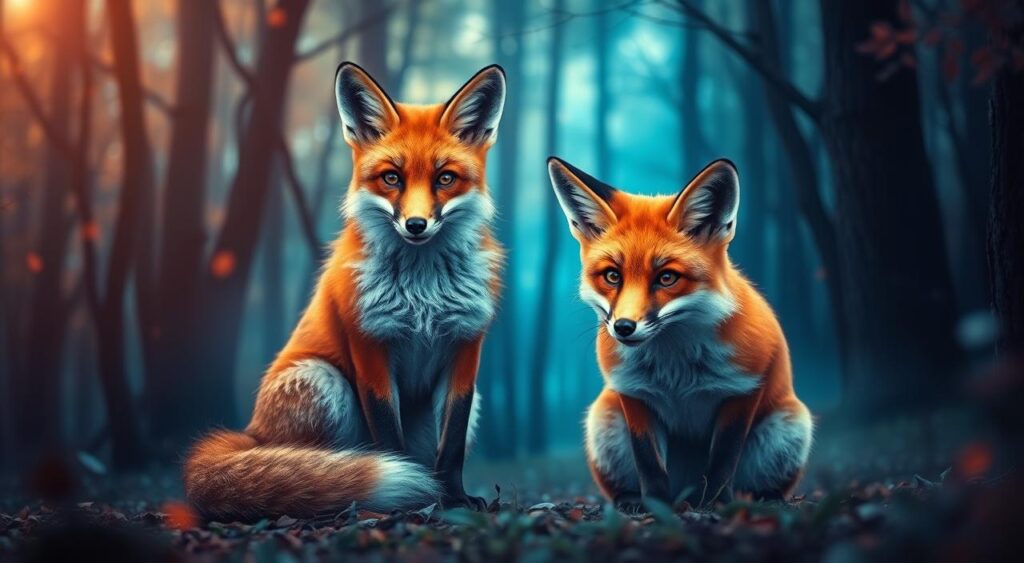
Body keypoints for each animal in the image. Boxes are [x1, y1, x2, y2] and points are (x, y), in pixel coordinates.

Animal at [183, 63, 507, 520]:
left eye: (445, 178)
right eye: (392, 178)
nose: (416, 226)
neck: (423, 292)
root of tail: (251, 433)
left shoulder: (466, 345)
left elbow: (453, 445)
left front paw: (455, 498)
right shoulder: (369, 342)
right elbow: (388, 434)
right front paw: (412, 497)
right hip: (324, 380)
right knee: (318, 465)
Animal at [547, 157, 813, 511]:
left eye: (667, 277)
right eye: (613, 276)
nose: (623, 327)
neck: (676, 370)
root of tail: (685, 490)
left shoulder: (743, 390)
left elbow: (722, 463)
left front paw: (715, 506)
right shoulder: (634, 393)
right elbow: (649, 465)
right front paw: (657, 507)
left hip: (788, 425)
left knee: (755, 485)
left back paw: (759, 500)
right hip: (602, 419)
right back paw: (633, 500)